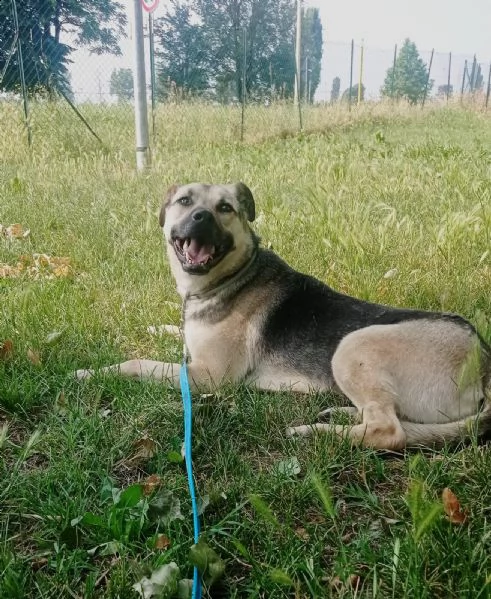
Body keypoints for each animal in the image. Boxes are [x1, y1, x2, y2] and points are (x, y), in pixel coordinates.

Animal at [75, 183, 490, 450]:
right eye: (184, 200)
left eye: (225, 208)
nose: (200, 217)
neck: (231, 276)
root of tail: (483, 361)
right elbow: (167, 329)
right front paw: (143, 327)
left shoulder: (206, 376)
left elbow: (137, 363)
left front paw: (91, 371)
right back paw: (338, 414)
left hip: (353, 345)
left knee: (389, 432)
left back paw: (315, 432)